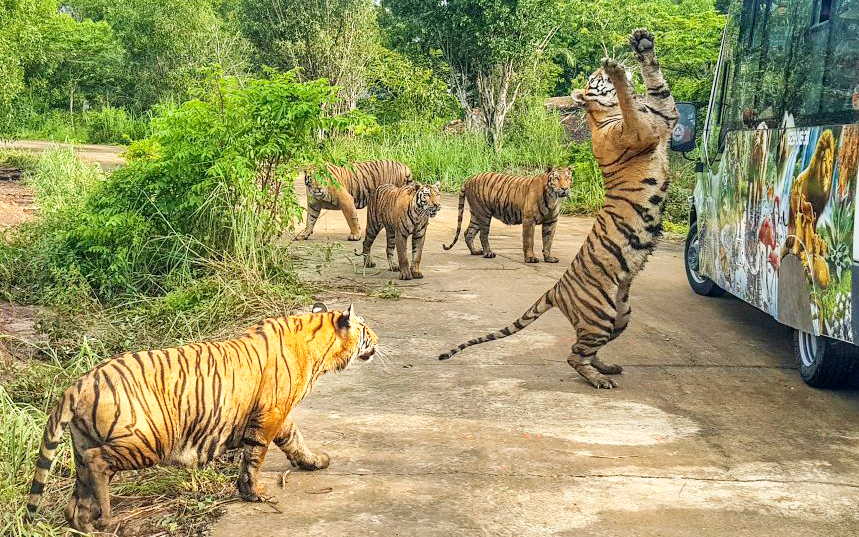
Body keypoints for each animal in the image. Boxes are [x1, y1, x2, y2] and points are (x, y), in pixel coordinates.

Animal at [25, 302, 376, 532]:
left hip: (82, 444)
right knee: (98, 463)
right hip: (150, 438)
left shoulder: (279, 414)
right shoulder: (271, 412)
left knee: (77, 496)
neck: (316, 343)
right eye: (365, 328)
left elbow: (294, 439)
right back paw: (107, 519)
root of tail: (80, 382)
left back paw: (84, 525)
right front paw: (255, 493)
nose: (378, 337)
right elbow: (256, 456)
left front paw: (314, 461)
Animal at [444, 165, 572, 262]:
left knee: (469, 232)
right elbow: (529, 240)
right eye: (557, 178)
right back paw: (488, 253)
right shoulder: (529, 220)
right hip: (483, 213)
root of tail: (468, 179)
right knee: (483, 235)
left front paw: (549, 258)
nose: (564, 188)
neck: (553, 198)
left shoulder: (551, 222)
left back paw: (475, 251)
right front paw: (530, 258)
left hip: (476, 213)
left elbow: (548, 241)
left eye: (568, 178)